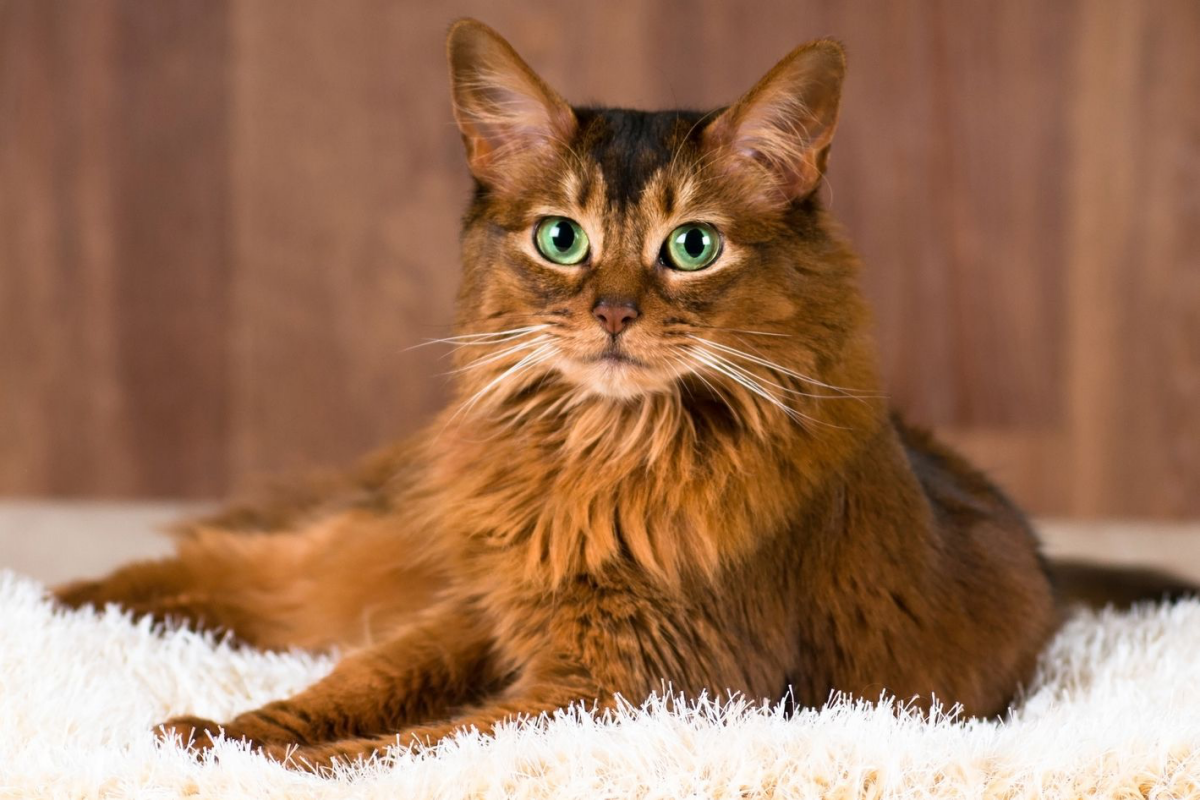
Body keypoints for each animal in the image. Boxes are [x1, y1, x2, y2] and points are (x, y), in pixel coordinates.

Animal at [56, 17, 1070, 767]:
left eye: (693, 245)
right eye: (561, 238)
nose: (613, 312)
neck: (597, 458)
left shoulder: (619, 689)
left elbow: (413, 744)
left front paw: (269, 763)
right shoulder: (477, 606)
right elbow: (360, 684)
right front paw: (224, 736)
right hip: (395, 546)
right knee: (263, 565)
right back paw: (79, 597)